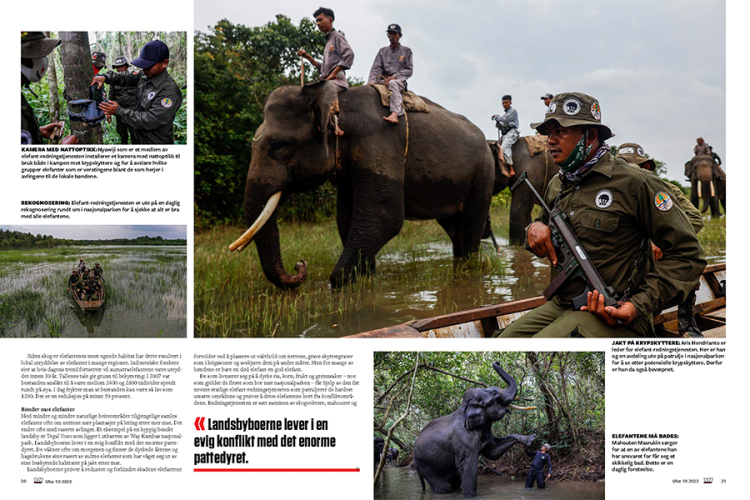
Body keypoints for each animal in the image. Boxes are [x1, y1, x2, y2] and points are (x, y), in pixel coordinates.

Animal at [230, 81, 495, 289]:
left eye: (278, 146)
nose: (300, 265)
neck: (337, 103)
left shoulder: (379, 143)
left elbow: (384, 217)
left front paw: (341, 281)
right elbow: (345, 219)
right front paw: (366, 277)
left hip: (483, 175)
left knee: (470, 224)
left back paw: (468, 269)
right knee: (453, 228)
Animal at [413, 362, 536, 497]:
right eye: (494, 394)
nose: (497, 362)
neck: (464, 408)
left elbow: (493, 451)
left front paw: (530, 439)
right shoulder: (464, 439)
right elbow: (468, 466)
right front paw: (470, 496)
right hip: (423, 463)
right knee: (444, 487)